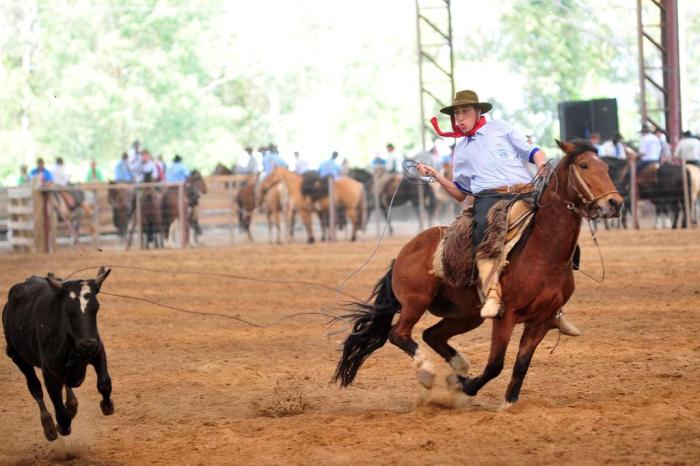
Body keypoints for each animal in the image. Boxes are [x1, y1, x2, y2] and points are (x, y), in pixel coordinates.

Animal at [334, 139, 624, 408]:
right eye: (584, 165)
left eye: (606, 167)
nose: (615, 203)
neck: (542, 252)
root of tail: (402, 254)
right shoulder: (506, 317)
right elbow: (495, 364)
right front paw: (467, 387)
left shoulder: (541, 321)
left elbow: (521, 364)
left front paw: (508, 403)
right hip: (417, 301)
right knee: (399, 334)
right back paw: (430, 373)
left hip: (466, 314)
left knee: (431, 335)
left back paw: (458, 369)